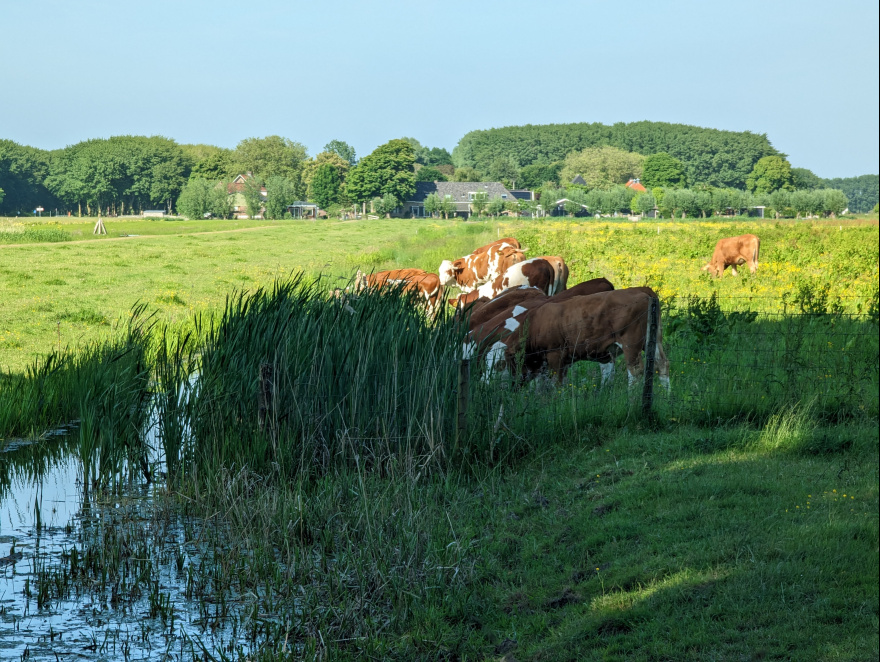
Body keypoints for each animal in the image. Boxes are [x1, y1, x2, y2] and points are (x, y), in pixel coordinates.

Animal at [498, 290, 672, 392]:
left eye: (511, 362)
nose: (511, 387)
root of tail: (644, 293)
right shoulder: (563, 360)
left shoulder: (555, 354)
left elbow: (556, 383)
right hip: (654, 340)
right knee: (662, 364)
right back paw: (666, 397)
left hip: (631, 343)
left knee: (635, 371)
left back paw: (632, 402)